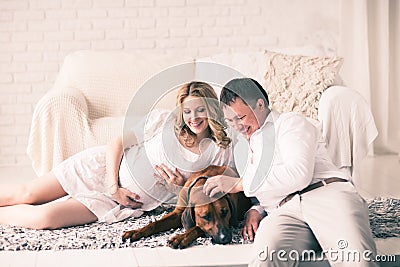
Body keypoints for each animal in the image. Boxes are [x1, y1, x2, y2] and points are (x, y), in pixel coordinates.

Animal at [122, 164, 252, 250]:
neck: (203, 183)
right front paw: (136, 231)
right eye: (205, 216)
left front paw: (180, 238)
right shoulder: (178, 214)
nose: (225, 238)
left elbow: (196, 227)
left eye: (225, 212)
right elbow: (155, 224)